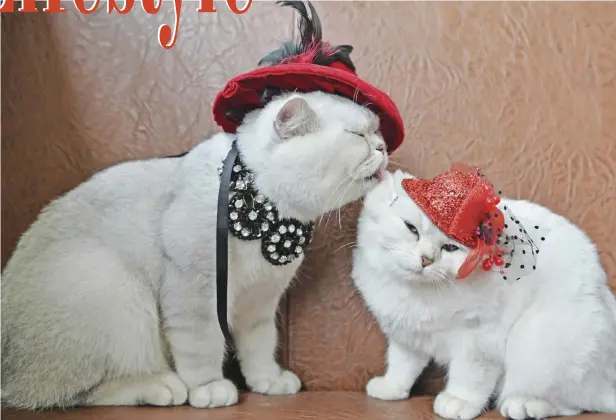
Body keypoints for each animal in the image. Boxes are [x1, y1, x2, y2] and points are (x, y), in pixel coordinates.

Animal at [1, 92, 390, 410]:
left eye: (378, 132)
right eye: (359, 136)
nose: (383, 147)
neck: (268, 214)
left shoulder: (260, 302)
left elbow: (260, 347)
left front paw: (268, 381)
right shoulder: (196, 292)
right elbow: (202, 347)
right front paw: (209, 389)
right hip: (114, 288)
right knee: (75, 393)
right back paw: (162, 386)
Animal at [352, 170, 616, 420]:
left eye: (450, 247)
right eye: (411, 229)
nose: (426, 260)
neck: (418, 290)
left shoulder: (479, 341)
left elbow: (469, 379)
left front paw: (458, 402)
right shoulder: (407, 337)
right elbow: (401, 366)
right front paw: (391, 389)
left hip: (535, 345)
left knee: (574, 405)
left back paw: (524, 406)